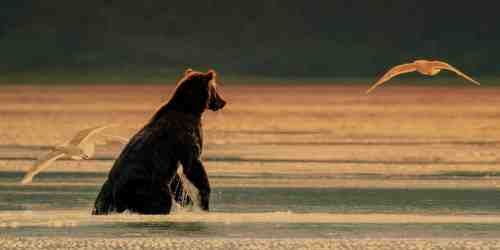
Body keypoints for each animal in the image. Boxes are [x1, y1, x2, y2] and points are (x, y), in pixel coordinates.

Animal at [92, 69, 227, 215]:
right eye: (215, 89)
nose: (223, 102)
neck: (190, 109)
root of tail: (115, 193)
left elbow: (176, 180)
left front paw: (188, 202)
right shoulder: (186, 136)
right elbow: (193, 165)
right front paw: (203, 202)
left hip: (106, 196)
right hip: (145, 186)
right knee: (161, 201)